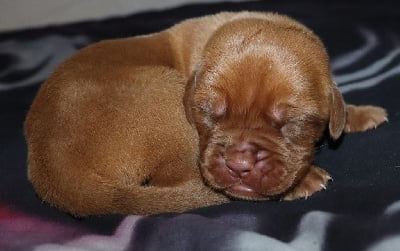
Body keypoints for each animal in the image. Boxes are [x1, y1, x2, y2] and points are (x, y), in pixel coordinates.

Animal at [25, 11, 388, 216]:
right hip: (166, 103)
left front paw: (358, 113)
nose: (240, 164)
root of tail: (54, 173)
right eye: (208, 113)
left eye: (290, 123)